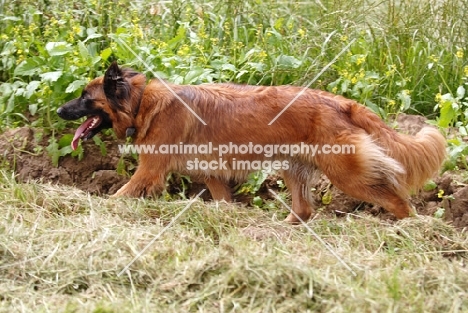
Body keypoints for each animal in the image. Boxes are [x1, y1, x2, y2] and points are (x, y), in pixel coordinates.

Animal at [57, 61, 446, 222]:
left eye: (85, 97)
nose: (60, 110)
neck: (140, 103)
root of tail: (337, 101)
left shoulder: (149, 170)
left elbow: (121, 194)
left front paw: (99, 207)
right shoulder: (213, 174)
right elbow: (222, 200)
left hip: (346, 173)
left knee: (397, 200)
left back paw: (407, 229)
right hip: (294, 168)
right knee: (304, 210)